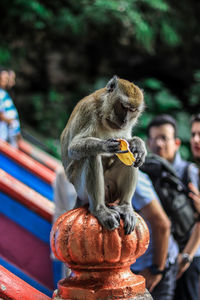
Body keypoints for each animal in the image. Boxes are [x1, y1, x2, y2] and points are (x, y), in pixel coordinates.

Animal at [60, 75, 146, 234]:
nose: (125, 120)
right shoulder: (89, 111)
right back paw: (100, 210)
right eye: (123, 107)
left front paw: (138, 145)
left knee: (131, 159)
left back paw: (125, 206)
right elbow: (73, 148)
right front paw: (105, 145)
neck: (104, 113)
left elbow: (128, 143)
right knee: (91, 156)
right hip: (81, 189)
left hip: (112, 193)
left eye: (133, 110)